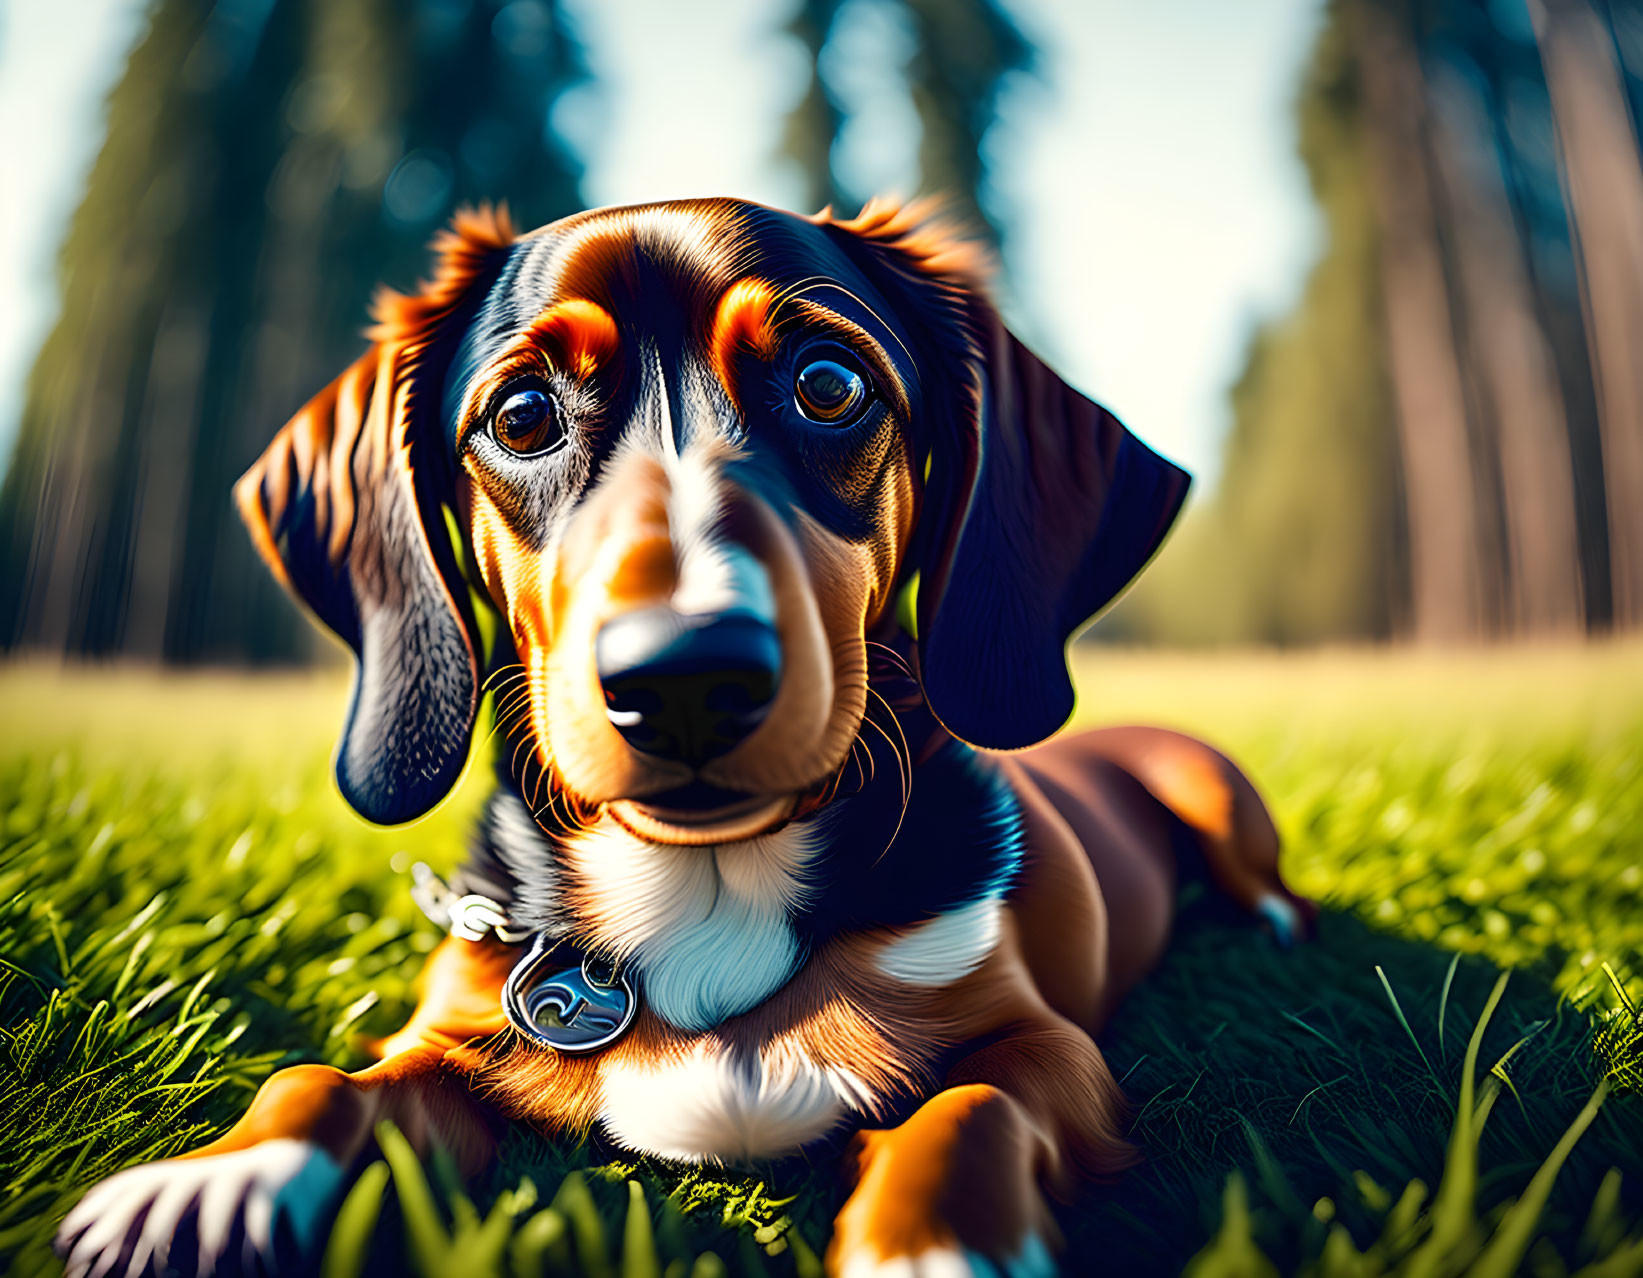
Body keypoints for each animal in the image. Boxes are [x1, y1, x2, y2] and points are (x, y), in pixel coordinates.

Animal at [54, 198, 1307, 1274]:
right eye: (521, 416)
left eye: (828, 383)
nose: (685, 678)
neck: (705, 883)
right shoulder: (453, 1036)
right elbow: (318, 1080)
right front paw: (208, 1185)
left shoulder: (1046, 1046)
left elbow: (970, 1105)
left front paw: (930, 1242)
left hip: (1216, 798)